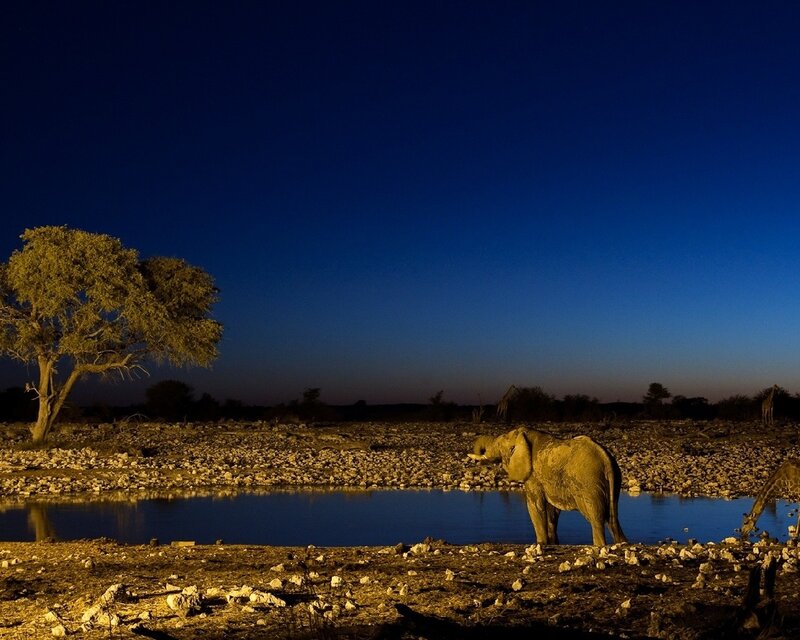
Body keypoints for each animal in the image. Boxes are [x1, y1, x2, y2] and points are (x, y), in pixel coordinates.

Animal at [468, 427, 627, 546]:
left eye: (500, 445)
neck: (524, 435)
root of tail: (606, 458)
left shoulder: (533, 476)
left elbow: (535, 505)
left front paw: (541, 543)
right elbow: (552, 511)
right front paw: (552, 543)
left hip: (589, 483)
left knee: (596, 517)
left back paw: (599, 545)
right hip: (614, 480)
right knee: (613, 518)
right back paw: (621, 543)